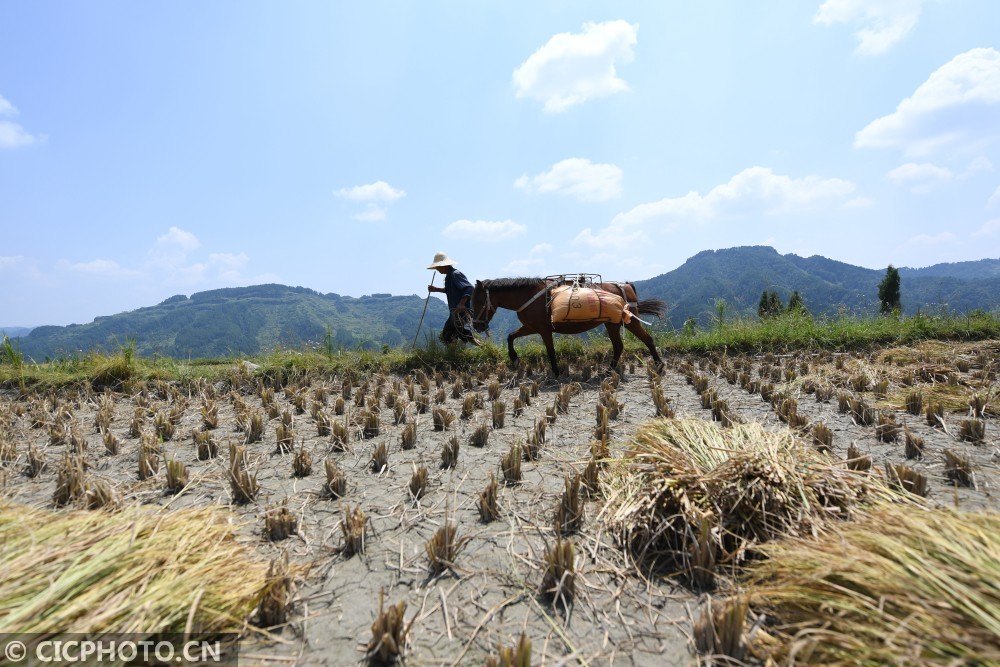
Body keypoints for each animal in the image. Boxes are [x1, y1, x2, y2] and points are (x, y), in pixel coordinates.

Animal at [472, 276, 668, 376]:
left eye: (477, 301)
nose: (476, 326)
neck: (528, 296)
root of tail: (625, 285)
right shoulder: (530, 327)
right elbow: (510, 336)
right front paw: (514, 358)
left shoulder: (543, 330)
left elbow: (550, 351)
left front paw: (556, 372)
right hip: (611, 324)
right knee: (619, 346)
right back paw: (609, 370)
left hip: (629, 321)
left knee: (647, 340)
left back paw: (659, 365)